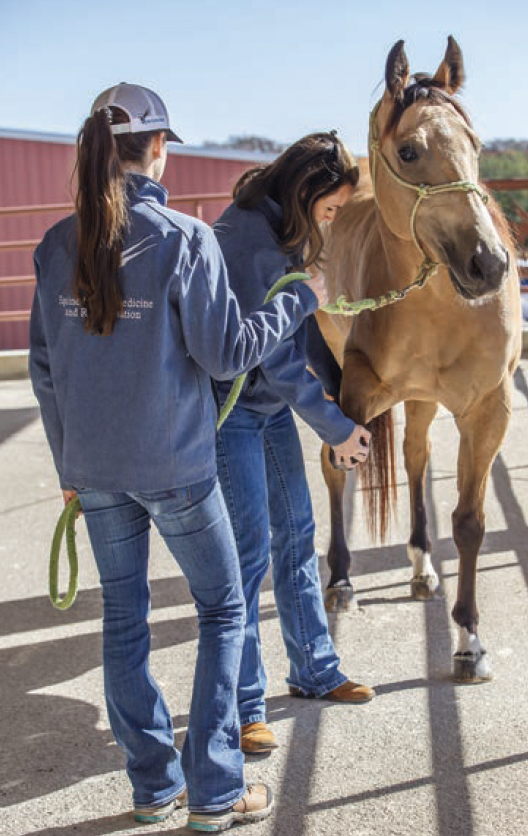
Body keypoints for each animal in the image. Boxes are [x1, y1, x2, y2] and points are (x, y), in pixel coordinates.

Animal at [316, 36, 522, 682]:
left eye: (476, 147)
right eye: (408, 151)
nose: (489, 264)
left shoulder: (487, 412)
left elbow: (470, 522)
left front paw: (470, 642)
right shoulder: (356, 392)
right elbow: (340, 466)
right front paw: (341, 581)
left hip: (425, 401)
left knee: (412, 459)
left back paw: (421, 568)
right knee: (335, 468)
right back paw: (341, 580)